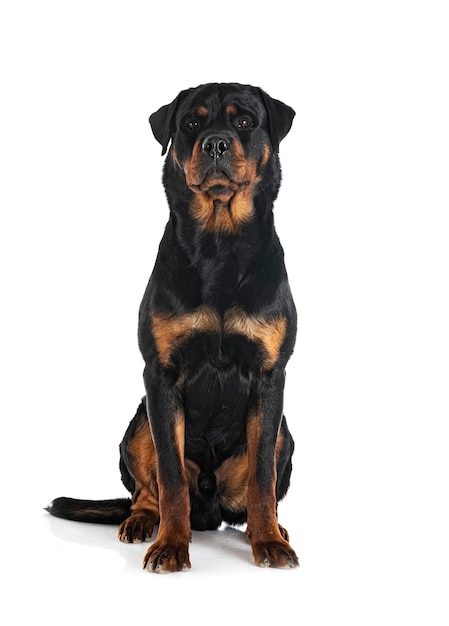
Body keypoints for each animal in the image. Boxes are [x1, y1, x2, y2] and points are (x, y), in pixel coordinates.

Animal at [47, 83, 300, 572]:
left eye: (245, 122)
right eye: (191, 123)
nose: (215, 143)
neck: (220, 244)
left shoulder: (269, 377)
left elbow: (261, 480)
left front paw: (269, 542)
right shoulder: (160, 376)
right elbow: (170, 478)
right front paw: (169, 545)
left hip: (286, 436)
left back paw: (276, 529)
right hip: (137, 424)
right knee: (147, 491)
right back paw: (142, 522)